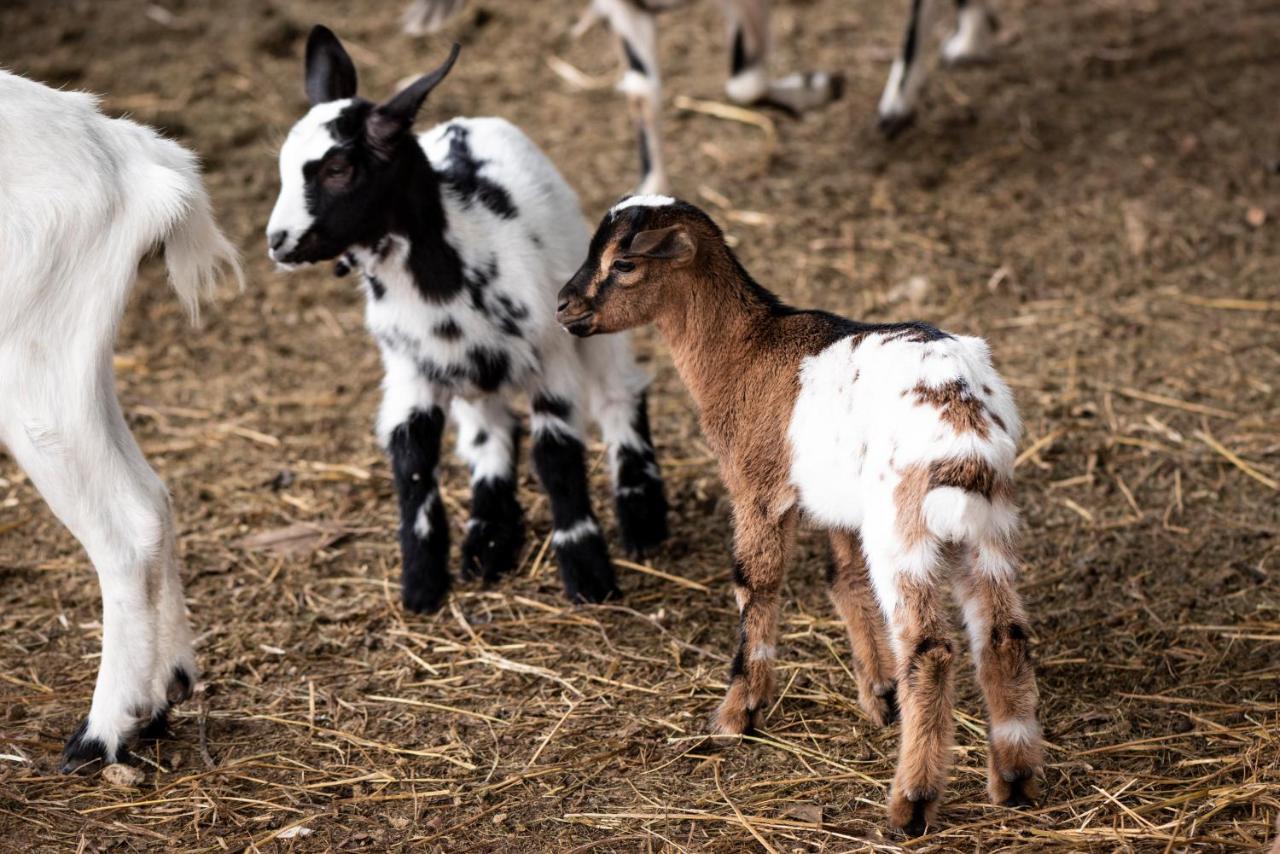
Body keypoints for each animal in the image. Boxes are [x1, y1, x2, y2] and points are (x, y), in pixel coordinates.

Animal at [0, 70, 241, 773]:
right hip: (75, 362)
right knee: (152, 495)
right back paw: (164, 694)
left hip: (29, 360)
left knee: (127, 527)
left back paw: (100, 732)